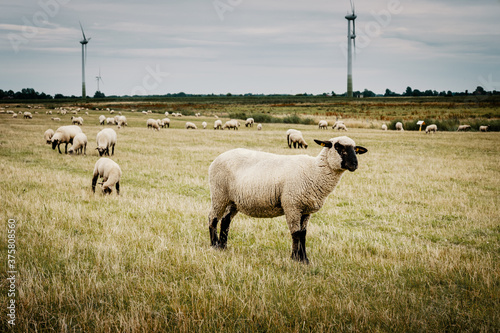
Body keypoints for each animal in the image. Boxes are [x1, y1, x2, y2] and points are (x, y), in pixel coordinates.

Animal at [207, 136, 368, 264]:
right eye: (338, 147)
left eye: (356, 149)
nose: (354, 164)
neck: (315, 171)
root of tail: (217, 158)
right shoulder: (292, 205)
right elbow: (296, 233)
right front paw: (296, 258)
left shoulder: (305, 210)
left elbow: (303, 234)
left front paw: (303, 259)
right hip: (219, 194)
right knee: (213, 218)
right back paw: (214, 245)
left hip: (233, 201)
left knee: (225, 221)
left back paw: (223, 246)